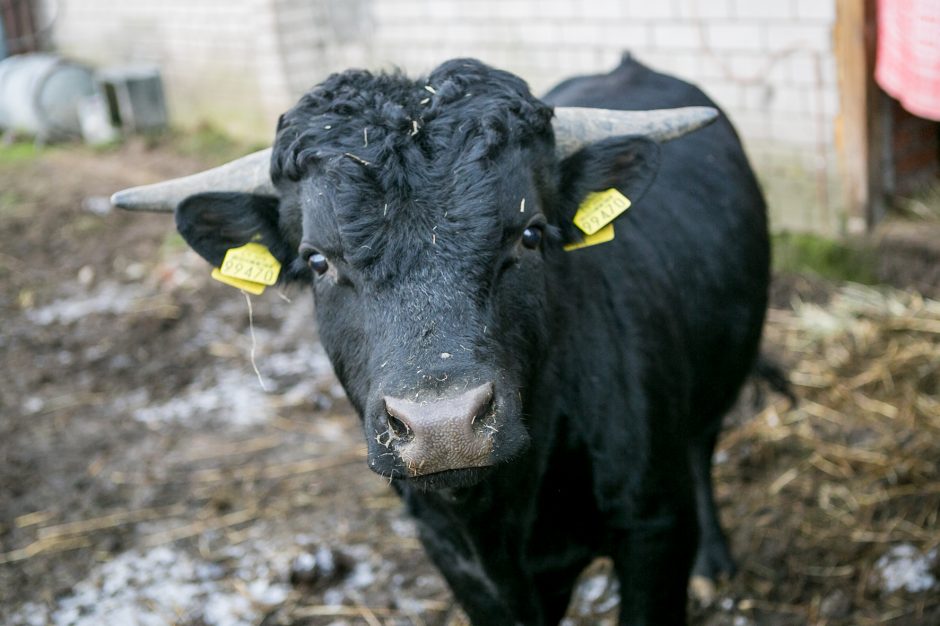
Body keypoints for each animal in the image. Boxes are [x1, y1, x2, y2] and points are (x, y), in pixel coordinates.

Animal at [115, 56, 772, 620]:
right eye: (319, 261)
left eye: (530, 234)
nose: (444, 427)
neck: (501, 514)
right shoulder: (461, 567)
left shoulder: (653, 531)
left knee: (702, 448)